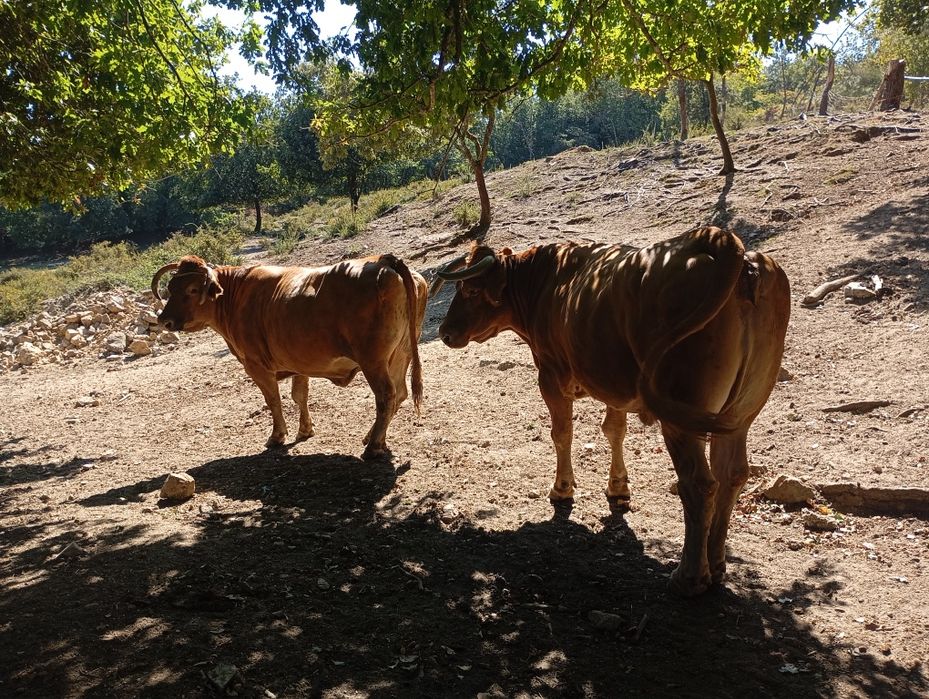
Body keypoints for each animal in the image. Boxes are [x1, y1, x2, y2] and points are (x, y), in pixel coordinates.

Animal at [151, 254, 427, 460]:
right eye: (171, 288)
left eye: (192, 289)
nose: (165, 320)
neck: (235, 295)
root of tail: (383, 261)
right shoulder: (300, 362)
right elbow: (299, 396)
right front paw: (305, 430)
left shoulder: (256, 366)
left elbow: (273, 400)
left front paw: (277, 436)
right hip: (401, 354)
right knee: (400, 393)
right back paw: (373, 438)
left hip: (374, 360)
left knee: (386, 395)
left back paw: (373, 447)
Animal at [432, 226, 790, 596]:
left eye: (470, 290)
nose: (444, 332)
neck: (546, 283)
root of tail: (722, 243)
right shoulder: (613, 385)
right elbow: (614, 429)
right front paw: (618, 487)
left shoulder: (550, 375)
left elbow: (562, 433)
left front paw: (562, 488)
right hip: (740, 414)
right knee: (732, 473)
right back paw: (716, 565)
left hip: (681, 416)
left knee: (699, 484)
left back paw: (688, 577)